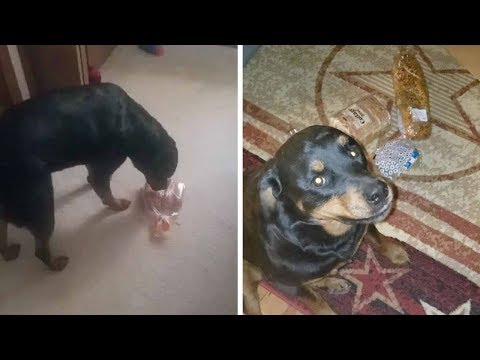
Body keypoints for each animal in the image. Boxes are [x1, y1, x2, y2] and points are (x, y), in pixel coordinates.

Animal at [0, 83, 177, 272]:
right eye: (164, 173)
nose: (164, 188)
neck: (131, 121)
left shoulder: (95, 163)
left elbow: (93, 178)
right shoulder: (106, 165)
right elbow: (106, 192)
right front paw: (117, 205)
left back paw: (7, 251)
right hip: (40, 200)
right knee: (40, 249)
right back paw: (55, 264)